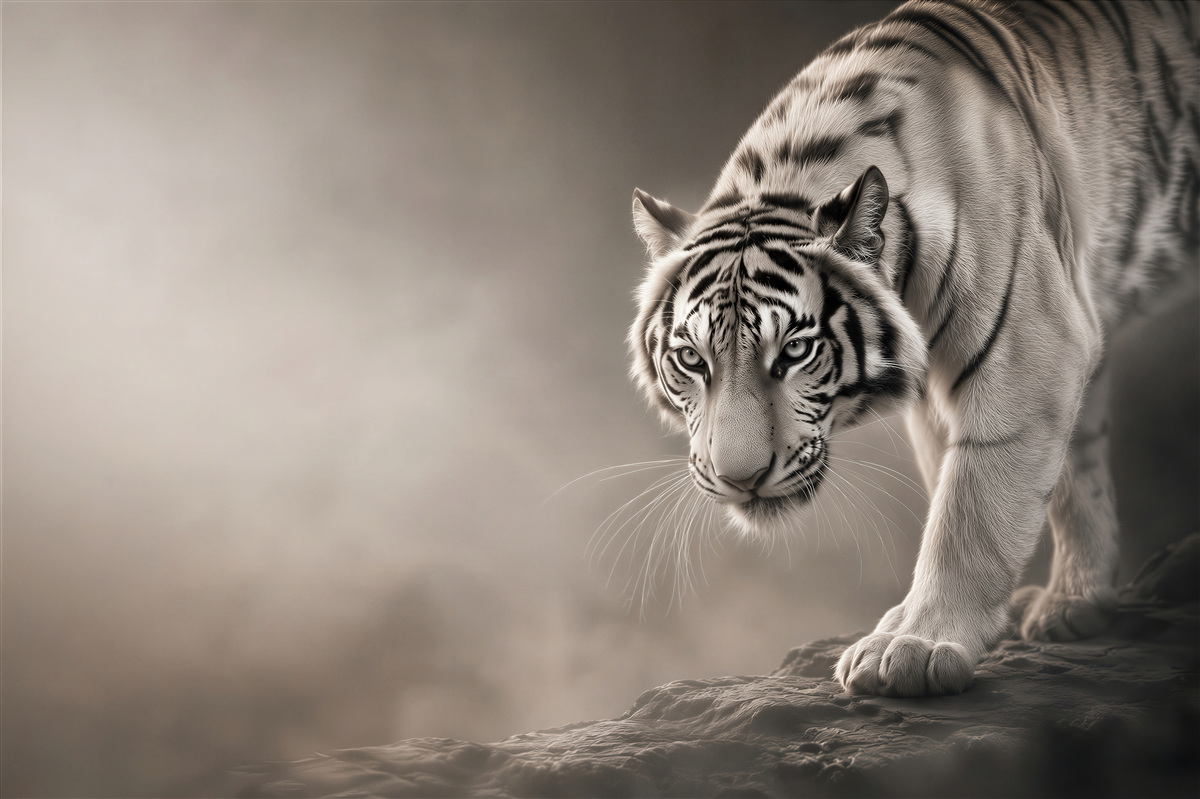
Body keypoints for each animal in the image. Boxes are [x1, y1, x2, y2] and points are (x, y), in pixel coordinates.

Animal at [628, 0, 1199, 697]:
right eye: (692, 360)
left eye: (794, 351)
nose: (741, 480)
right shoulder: (965, 383)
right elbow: (1061, 474)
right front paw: (1076, 602)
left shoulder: (1033, 350)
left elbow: (970, 509)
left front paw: (915, 645)